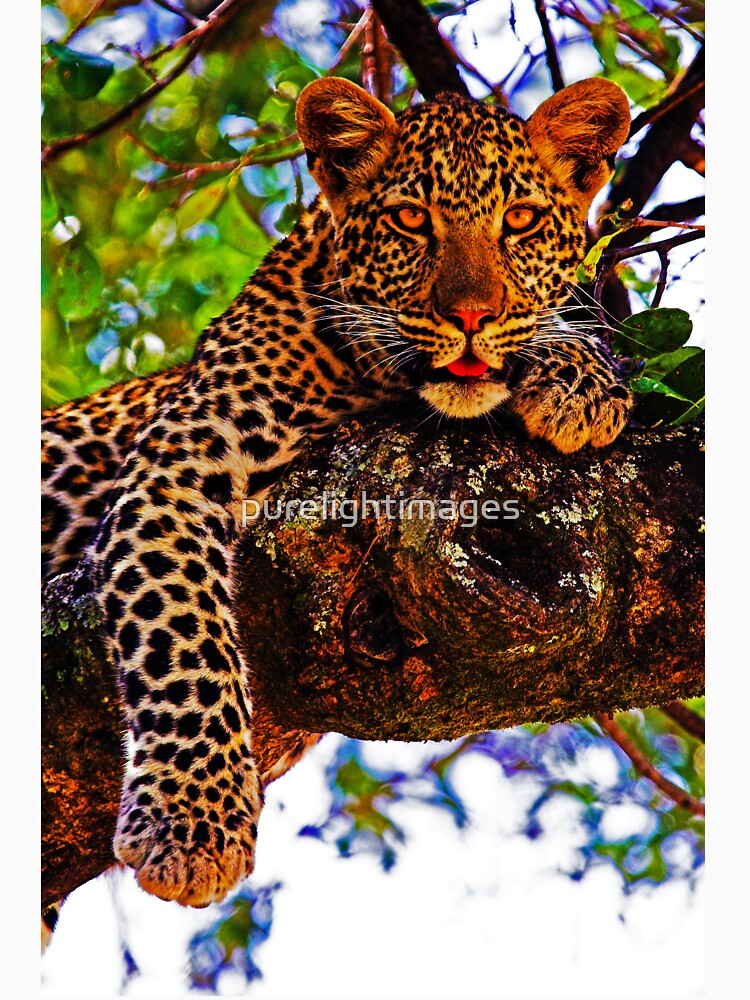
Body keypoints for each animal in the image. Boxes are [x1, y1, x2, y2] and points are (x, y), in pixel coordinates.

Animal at [41, 76, 633, 912]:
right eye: (411, 219)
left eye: (519, 221)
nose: (472, 317)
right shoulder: (177, 461)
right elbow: (186, 638)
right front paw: (190, 825)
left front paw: (580, 380)